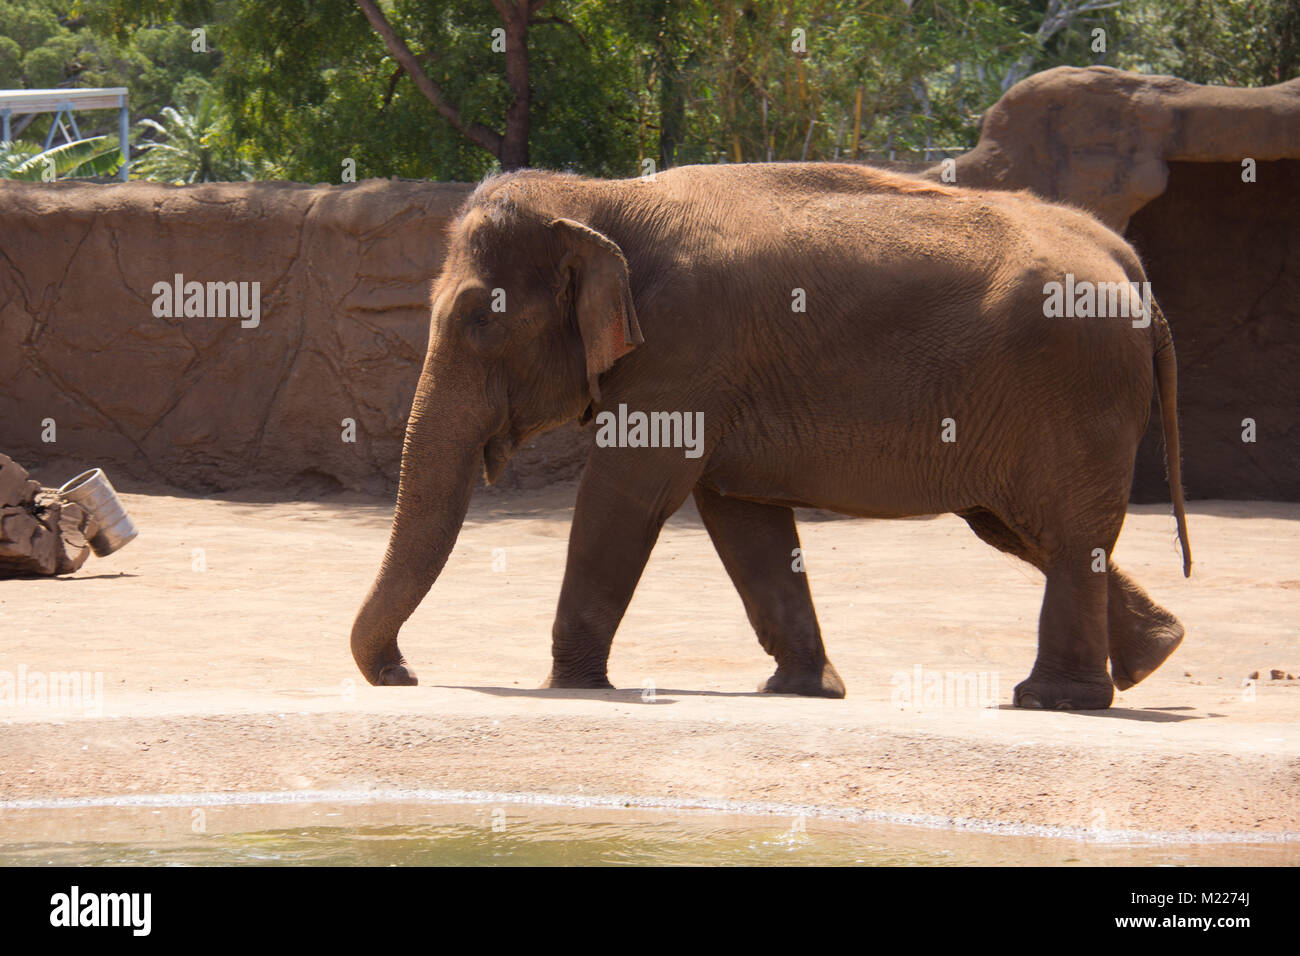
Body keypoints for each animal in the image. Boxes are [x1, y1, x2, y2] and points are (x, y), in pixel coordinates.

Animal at [351, 162, 1190, 712]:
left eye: (477, 319)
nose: (404, 674)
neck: (604, 196)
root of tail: (1127, 261)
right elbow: (742, 518)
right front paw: (802, 689)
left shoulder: (685, 347)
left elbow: (624, 497)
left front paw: (570, 688)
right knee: (1025, 528)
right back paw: (1155, 655)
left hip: (1073, 384)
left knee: (1061, 530)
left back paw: (1054, 699)